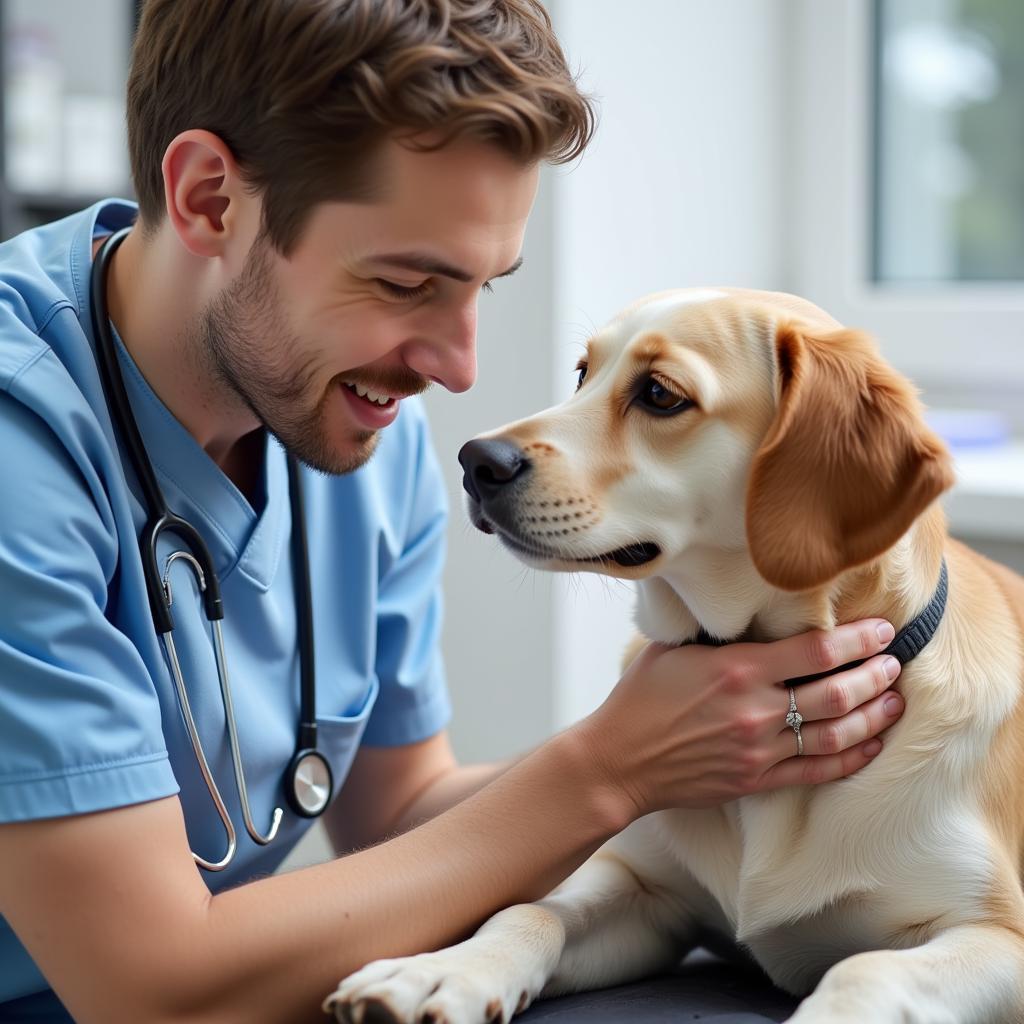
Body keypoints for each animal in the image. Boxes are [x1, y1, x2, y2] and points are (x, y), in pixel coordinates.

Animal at [323, 288, 1024, 1024]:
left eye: (659, 393)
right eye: (583, 372)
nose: (474, 461)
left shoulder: (995, 936)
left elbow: (865, 970)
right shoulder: (645, 894)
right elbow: (529, 912)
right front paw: (440, 971)